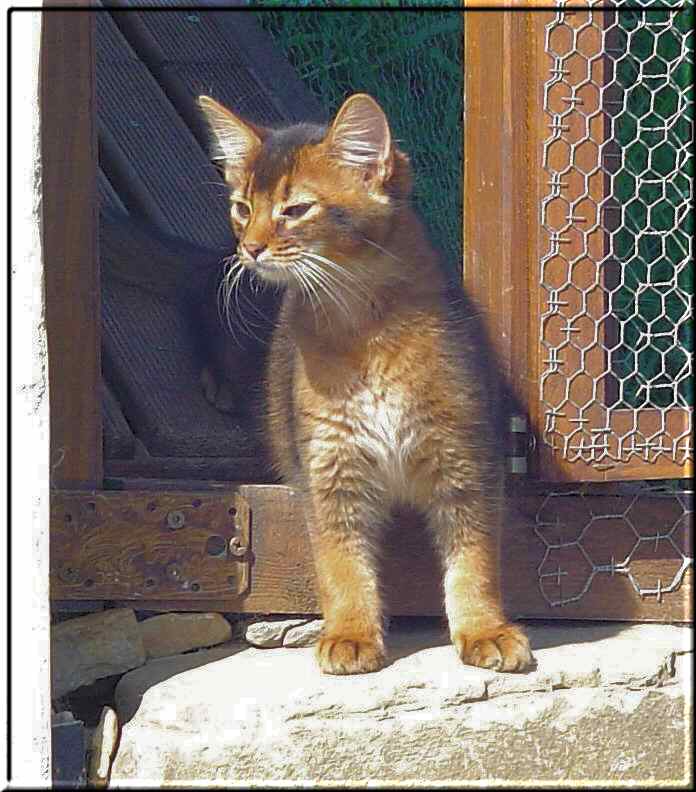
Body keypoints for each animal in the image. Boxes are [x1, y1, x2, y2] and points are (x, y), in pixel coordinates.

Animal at [198, 91, 536, 676]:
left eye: (294, 210)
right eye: (242, 207)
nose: (250, 248)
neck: (365, 328)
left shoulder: (465, 459)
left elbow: (474, 561)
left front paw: (484, 629)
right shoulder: (329, 469)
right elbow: (341, 565)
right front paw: (351, 635)